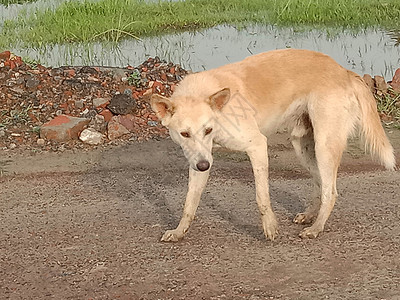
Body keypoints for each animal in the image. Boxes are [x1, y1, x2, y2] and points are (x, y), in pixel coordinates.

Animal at [151, 48, 396, 241]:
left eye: (207, 130)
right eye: (184, 134)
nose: (203, 166)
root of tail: (343, 71)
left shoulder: (257, 146)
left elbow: (262, 197)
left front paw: (270, 227)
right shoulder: (199, 160)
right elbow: (189, 203)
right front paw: (179, 231)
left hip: (324, 146)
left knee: (331, 192)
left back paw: (316, 227)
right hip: (302, 146)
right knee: (320, 183)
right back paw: (310, 215)